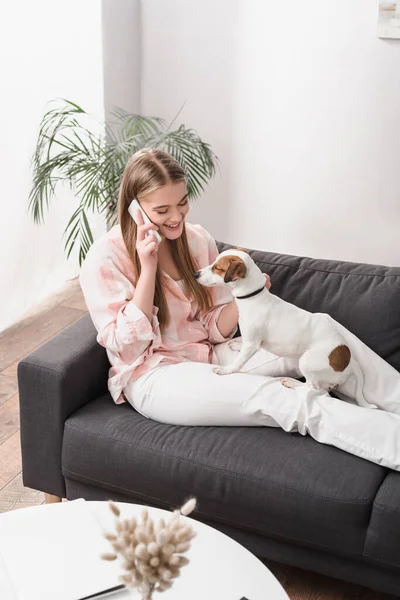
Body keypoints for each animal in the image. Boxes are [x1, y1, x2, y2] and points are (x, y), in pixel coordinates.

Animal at [195, 246, 376, 410]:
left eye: (217, 268)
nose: (196, 274)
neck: (254, 297)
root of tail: (349, 360)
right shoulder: (250, 341)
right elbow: (242, 347)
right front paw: (236, 345)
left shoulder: (252, 345)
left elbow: (239, 362)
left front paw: (227, 370)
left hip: (307, 361)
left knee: (313, 387)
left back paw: (291, 382)